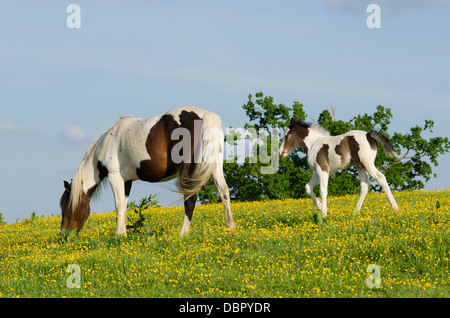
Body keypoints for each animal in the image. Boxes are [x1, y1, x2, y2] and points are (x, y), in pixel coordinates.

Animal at [59, 107, 236, 236]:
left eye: (66, 208)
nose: (63, 236)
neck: (107, 143)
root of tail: (204, 115)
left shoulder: (114, 176)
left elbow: (119, 206)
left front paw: (119, 235)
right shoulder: (127, 181)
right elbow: (124, 205)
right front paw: (123, 233)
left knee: (190, 200)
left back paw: (183, 233)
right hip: (214, 165)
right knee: (224, 191)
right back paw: (230, 227)